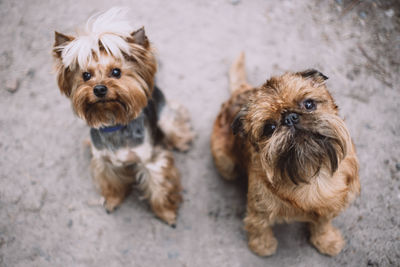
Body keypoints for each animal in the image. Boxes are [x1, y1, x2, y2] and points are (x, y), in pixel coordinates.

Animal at [211, 52, 360, 258]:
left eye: (309, 104)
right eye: (270, 128)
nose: (290, 118)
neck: (312, 171)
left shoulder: (330, 207)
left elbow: (322, 224)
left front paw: (326, 240)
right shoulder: (259, 210)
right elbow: (259, 226)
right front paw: (262, 246)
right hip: (226, 164)